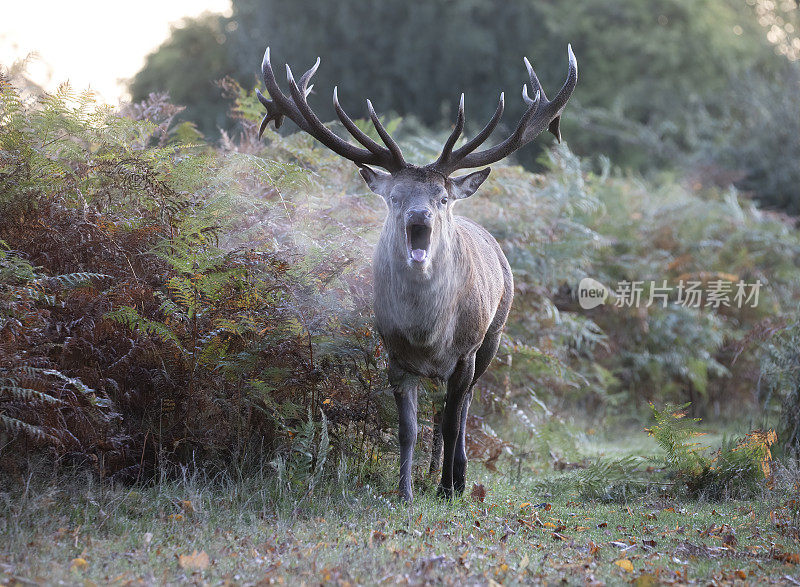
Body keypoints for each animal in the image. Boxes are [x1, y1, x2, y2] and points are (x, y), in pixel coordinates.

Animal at [256, 46, 576, 500]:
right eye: (395, 196)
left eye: (441, 197)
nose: (419, 216)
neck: (427, 336)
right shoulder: (395, 355)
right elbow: (408, 428)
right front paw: (405, 490)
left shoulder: (466, 353)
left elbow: (452, 421)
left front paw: (448, 488)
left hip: (493, 337)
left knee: (464, 408)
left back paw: (455, 476)